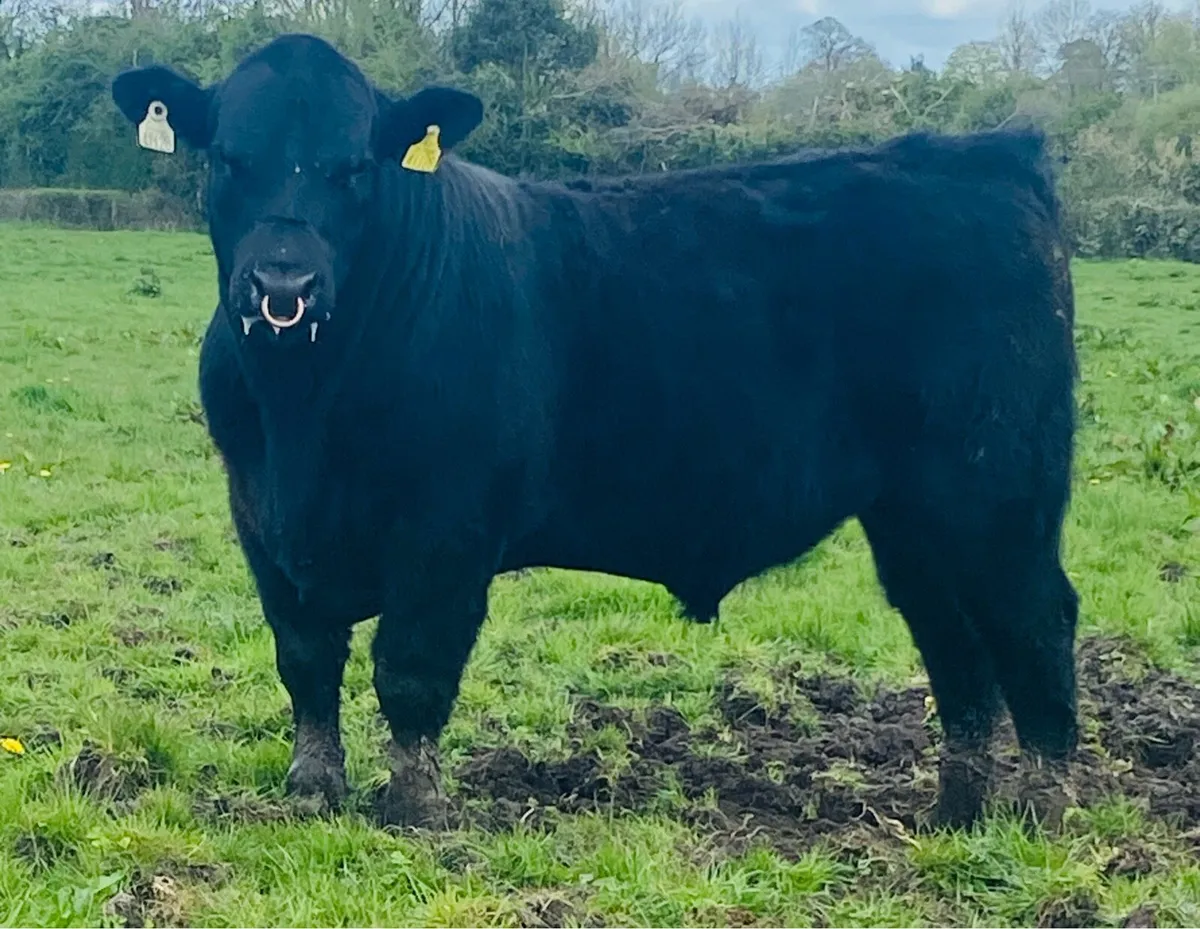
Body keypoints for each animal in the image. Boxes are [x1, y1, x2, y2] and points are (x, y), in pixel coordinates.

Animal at [111, 32, 1080, 831]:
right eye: (229, 158)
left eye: (355, 167)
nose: (285, 284)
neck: (302, 415)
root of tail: (989, 157)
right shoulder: (262, 521)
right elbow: (306, 660)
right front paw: (314, 789)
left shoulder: (446, 531)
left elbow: (410, 666)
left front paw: (417, 809)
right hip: (915, 513)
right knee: (955, 644)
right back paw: (955, 812)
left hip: (998, 489)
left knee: (1034, 619)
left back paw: (1044, 811)